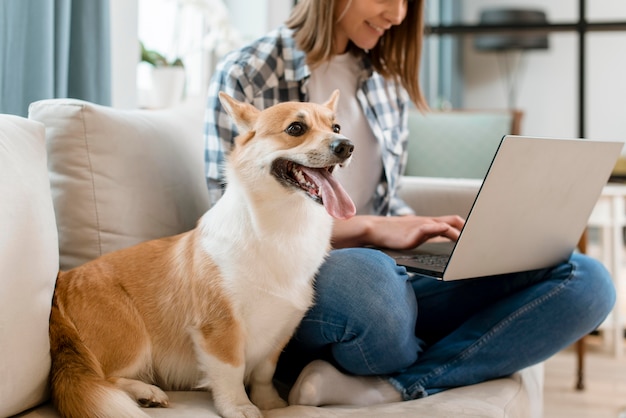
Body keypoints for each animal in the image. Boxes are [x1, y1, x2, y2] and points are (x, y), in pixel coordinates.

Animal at [47, 91, 356, 418]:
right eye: (296, 128)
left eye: (336, 127)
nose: (347, 146)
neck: (283, 227)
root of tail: (61, 286)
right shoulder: (219, 327)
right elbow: (231, 371)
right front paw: (240, 407)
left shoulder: (279, 332)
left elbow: (263, 373)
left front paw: (271, 404)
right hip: (132, 339)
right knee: (102, 378)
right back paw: (145, 393)